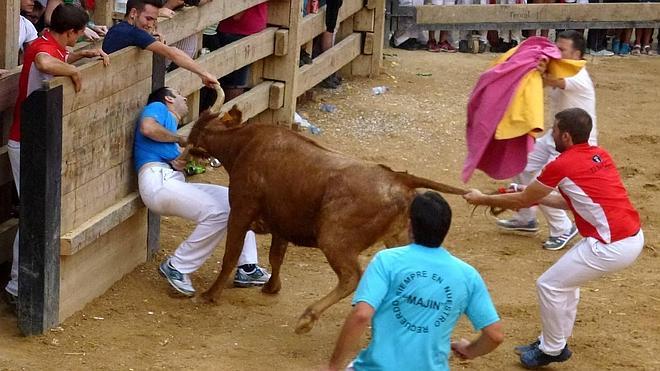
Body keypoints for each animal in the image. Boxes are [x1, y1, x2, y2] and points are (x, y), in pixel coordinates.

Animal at [187, 107, 470, 334]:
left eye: (194, 132)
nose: (184, 145)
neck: (241, 143)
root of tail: (399, 177)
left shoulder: (240, 211)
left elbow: (231, 254)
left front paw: (210, 295)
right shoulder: (281, 222)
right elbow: (277, 256)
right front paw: (271, 287)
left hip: (334, 239)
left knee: (351, 277)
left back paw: (307, 318)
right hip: (398, 236)